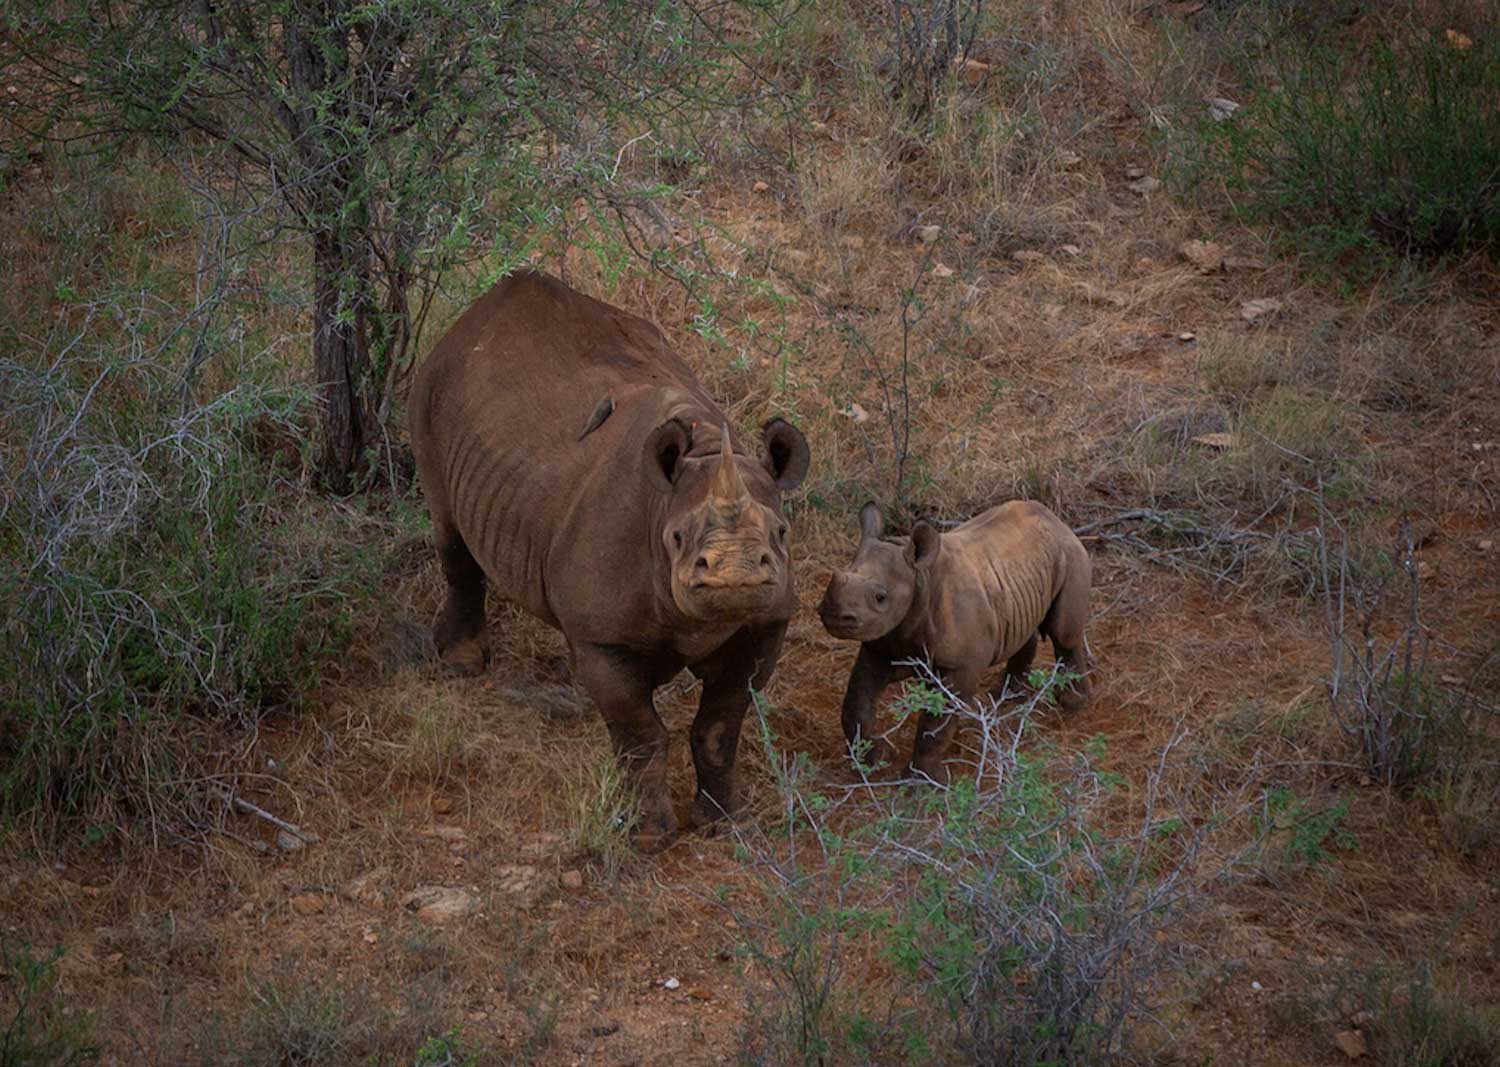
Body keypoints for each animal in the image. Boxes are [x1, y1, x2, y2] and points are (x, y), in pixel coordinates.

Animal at [409, 271, 810, 847]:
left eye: (780, 533)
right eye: (676, 538)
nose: (735, 574)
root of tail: (473, 316)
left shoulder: (765, 623)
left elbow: (719, 725)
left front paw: (724, 823)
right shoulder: (604, 637)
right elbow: (641, 735)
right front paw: (649, 838)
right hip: (431, 387)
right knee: (449, 528)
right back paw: (461, 665)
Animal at [817, 499, 1092, 783]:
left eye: (881, 598)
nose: (833, 614)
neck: (919, 578)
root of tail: (1054, 519)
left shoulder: (959, 665)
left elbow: (936, 723)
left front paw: (923, 782)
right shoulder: (881, 646)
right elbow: (856, 701)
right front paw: (873, 759)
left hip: (1070, 554)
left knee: (1064, 633)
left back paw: (1073, 704)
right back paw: (1004, 697)